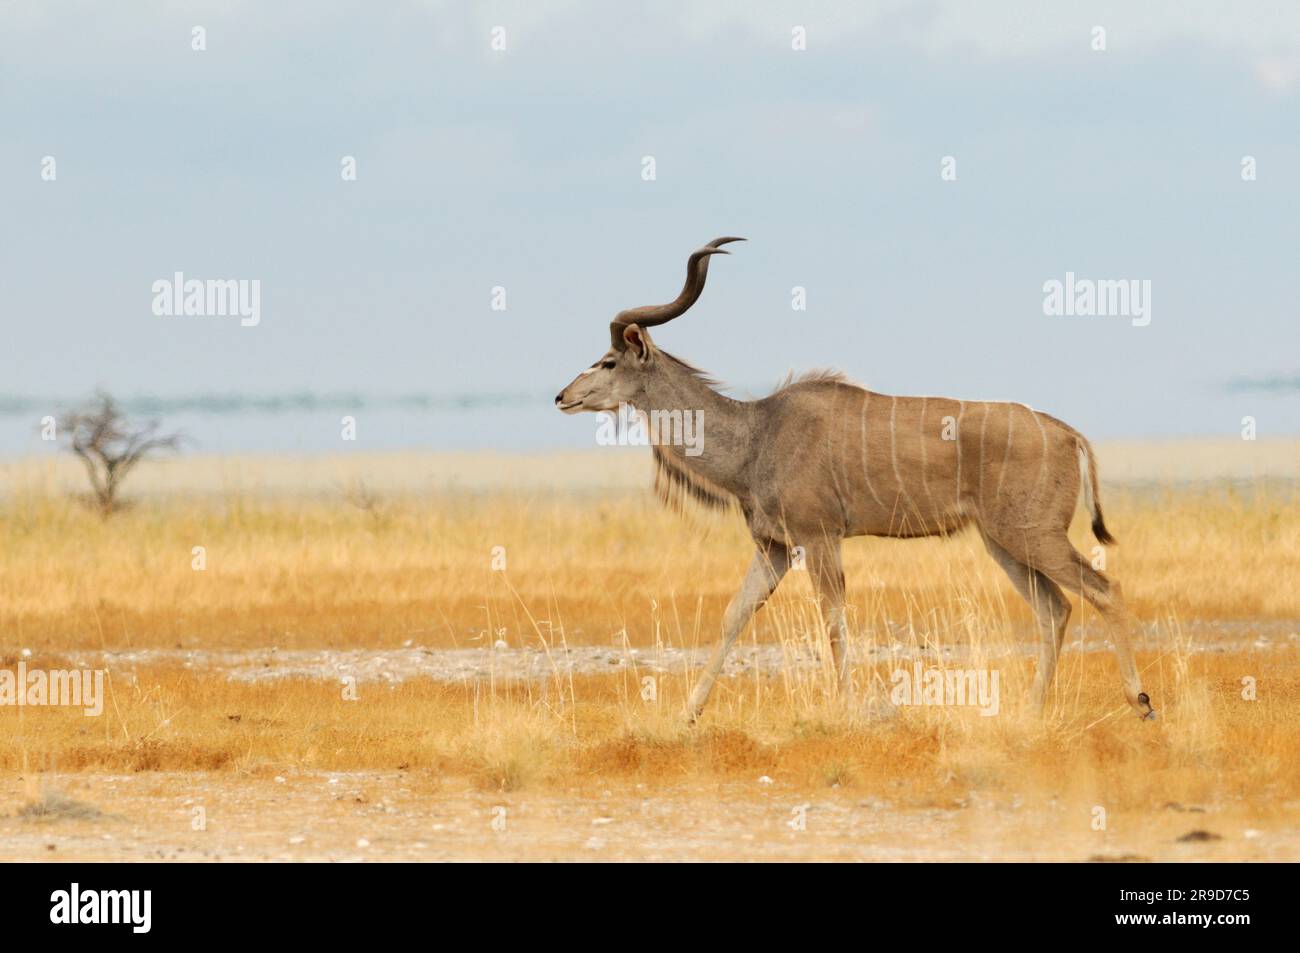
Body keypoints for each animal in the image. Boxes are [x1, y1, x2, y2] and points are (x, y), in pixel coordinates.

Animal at [559, 237, 1159, 722]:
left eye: (609, 361)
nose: (563, 396)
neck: (756, 436)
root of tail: (1069, 434)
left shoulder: (819, 540)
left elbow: (832, 622)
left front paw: (846, 707)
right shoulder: (775, 548)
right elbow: (734, 616)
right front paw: (688, 712)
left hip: (1033, 536)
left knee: (1103, 589)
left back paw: (1140, 701)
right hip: (1002, 543)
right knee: (1055, 609)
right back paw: (1031, 712)